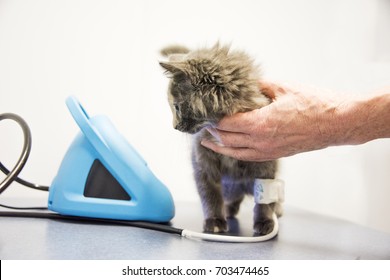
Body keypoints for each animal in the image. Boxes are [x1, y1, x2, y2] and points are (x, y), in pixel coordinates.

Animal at [160, 43, 282, 235]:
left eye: (176, 107)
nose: (175, 126)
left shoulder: (266, 160)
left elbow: (264, 199)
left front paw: (264, 222)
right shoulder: (203, 163)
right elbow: (211, 195)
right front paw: (215, 221)